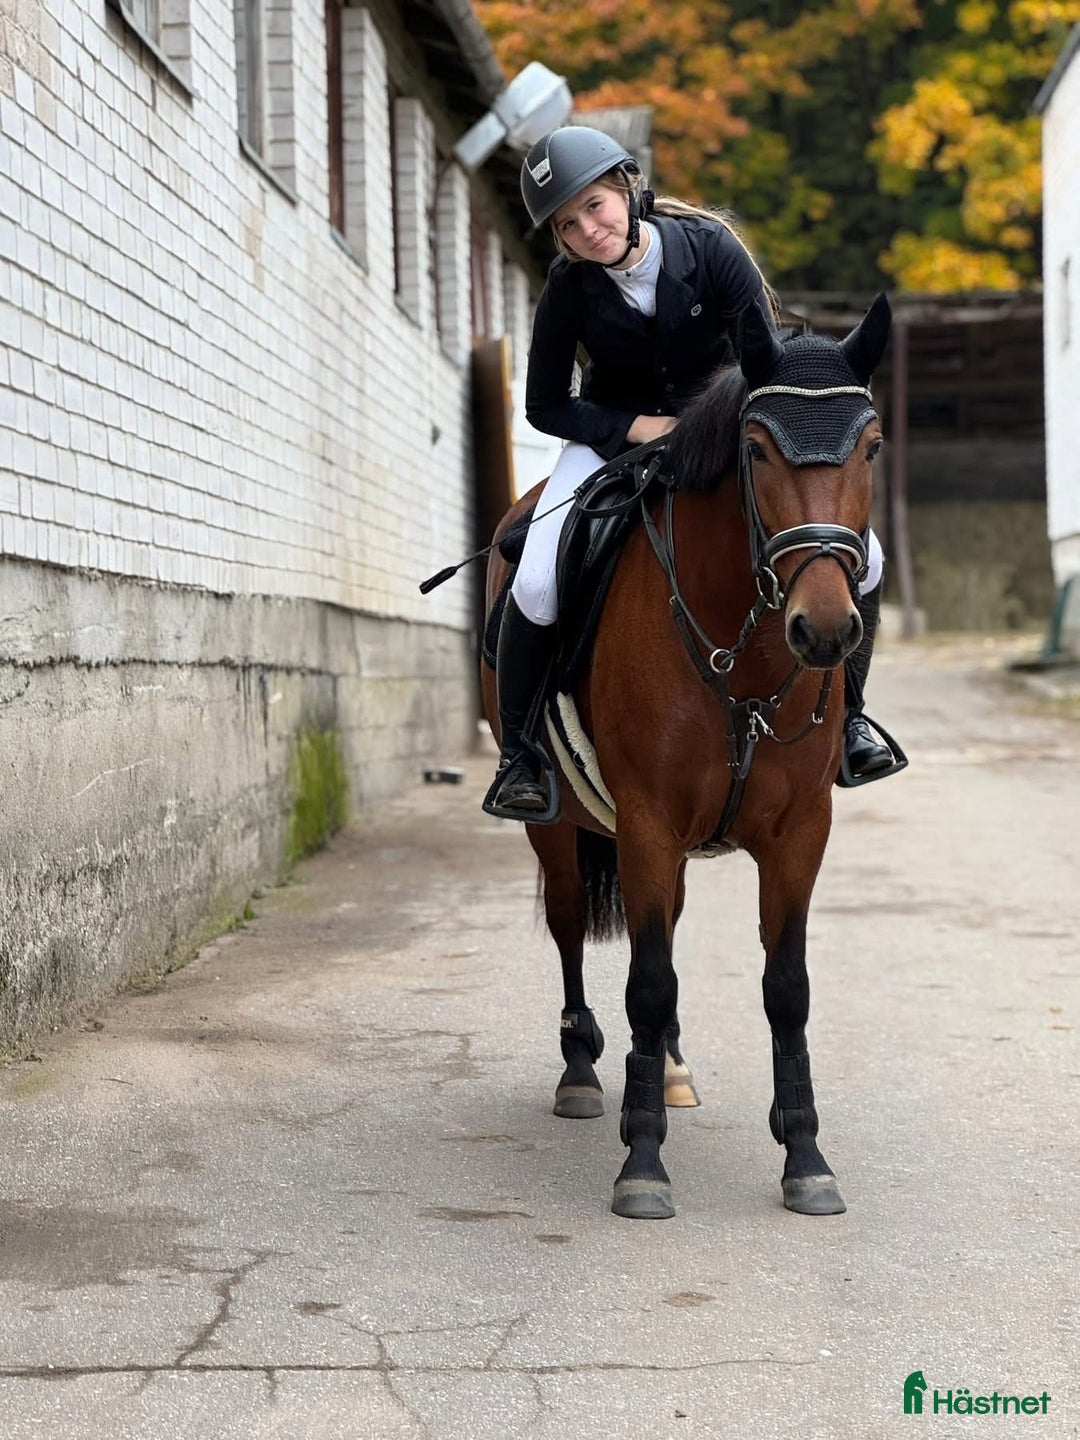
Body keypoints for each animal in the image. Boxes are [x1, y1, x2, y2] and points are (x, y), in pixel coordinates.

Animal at [480, 294, 892, 1220]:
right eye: (757, 448)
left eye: (873, 445)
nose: (825, 629)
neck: (748, 657)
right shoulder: (646, 821)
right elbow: (646, 980)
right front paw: (642, 1164)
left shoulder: (800, 830)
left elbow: (784, 987)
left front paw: (805, 1154)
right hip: (557, 826)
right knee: (574, 925)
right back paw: (584, 1072)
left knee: (659, 931)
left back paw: (666, 1068)